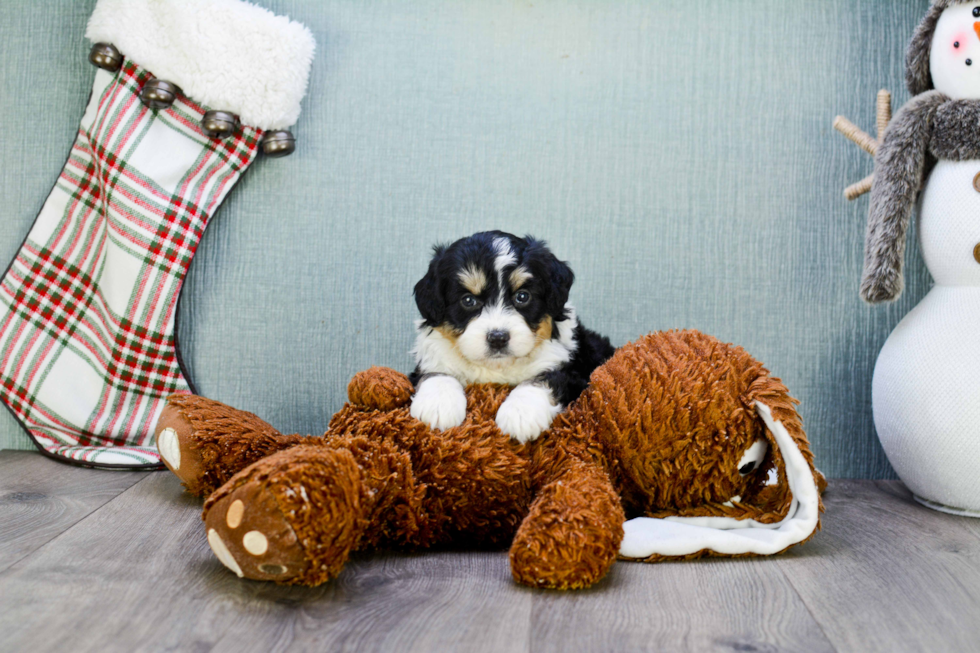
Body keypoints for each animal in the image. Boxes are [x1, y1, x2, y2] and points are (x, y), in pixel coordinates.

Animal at [406, 230, 612, 444]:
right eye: (468, 300)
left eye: (522, 296)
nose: (498, 338)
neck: (497, 368)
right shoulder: (432, 358)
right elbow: (436, 373)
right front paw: (437, 406)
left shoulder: (572, 371)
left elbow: (544, 379)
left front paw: (520, 414)